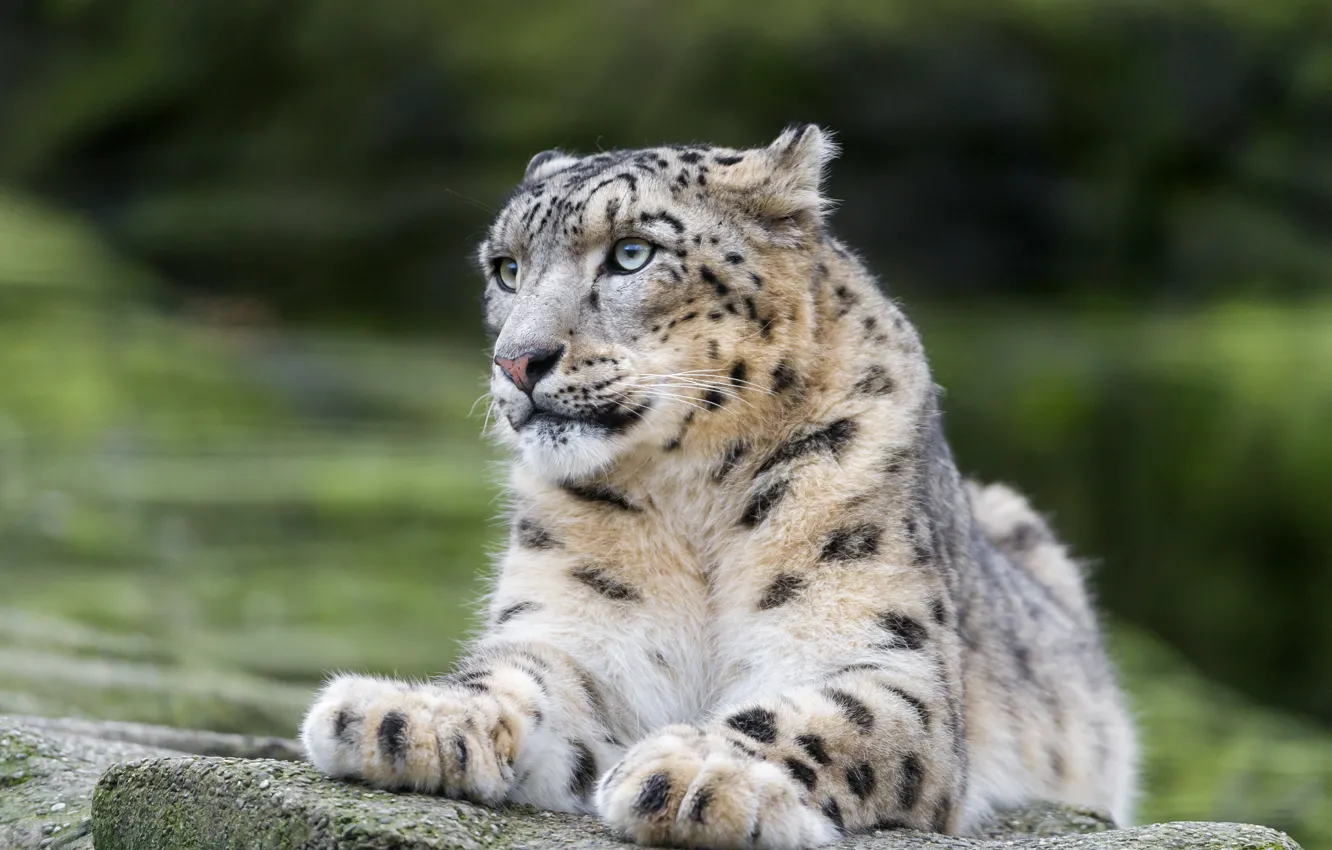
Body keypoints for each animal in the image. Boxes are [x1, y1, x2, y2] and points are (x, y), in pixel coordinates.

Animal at [300, 125, 1137, 850]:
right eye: (506, 269)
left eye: (631, 253)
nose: (518, 361)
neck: (691, 499)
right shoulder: (578, 635)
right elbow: (515, 676)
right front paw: (402, 715)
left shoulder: (888, 662)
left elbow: (820, 716)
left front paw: (696, 772)